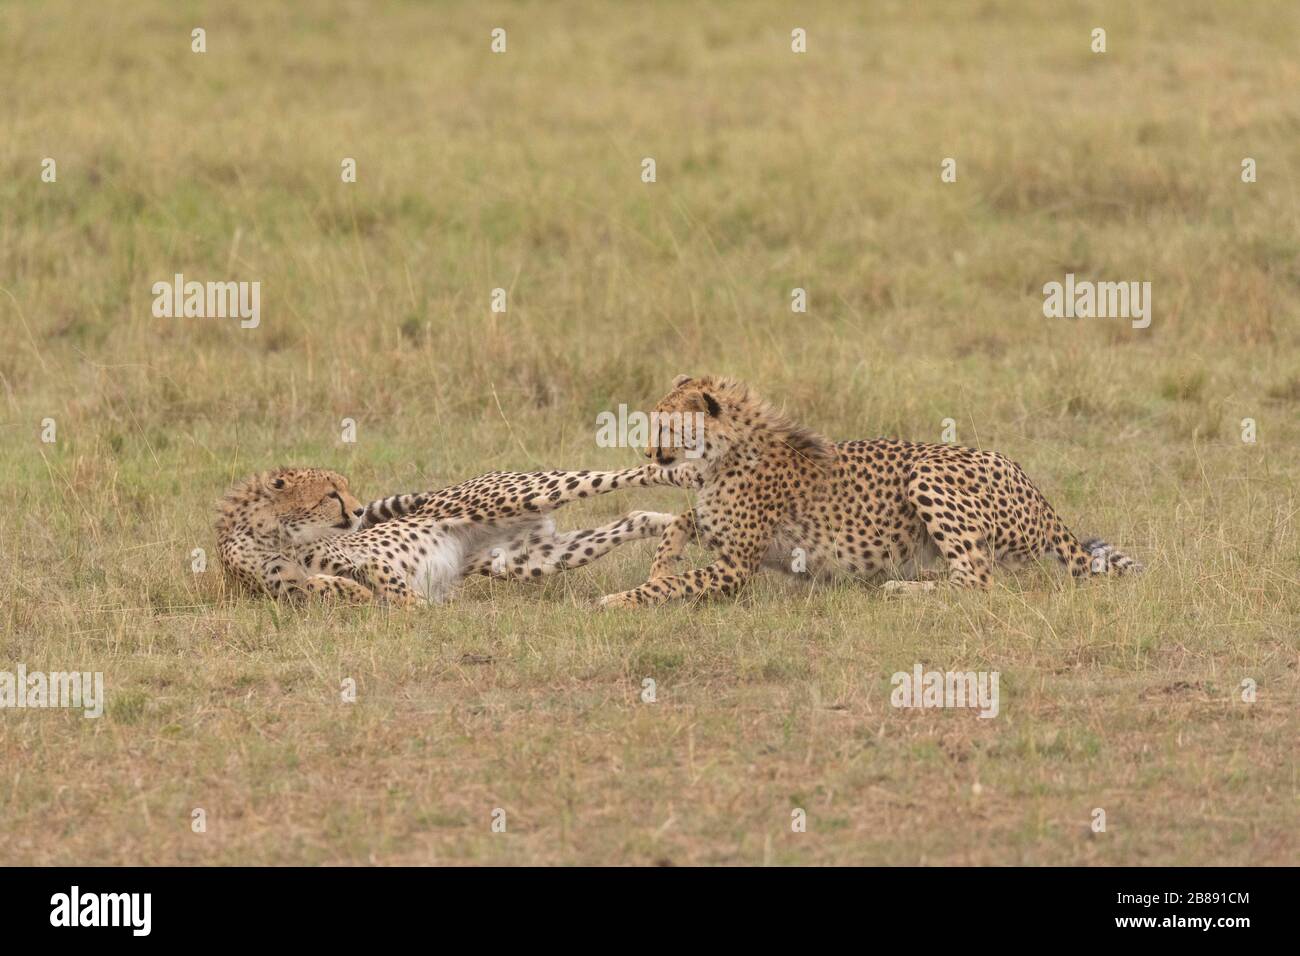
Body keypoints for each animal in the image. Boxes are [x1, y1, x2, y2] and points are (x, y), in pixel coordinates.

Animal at [215, 463, 700, 605]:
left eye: (344, 489)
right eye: (331, 494)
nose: (357, 510)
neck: (275, 534)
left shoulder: (364, 557)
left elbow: (384, 582)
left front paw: (413, 606)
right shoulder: (281, 591)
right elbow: (317, 585)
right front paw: (362, 596)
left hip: (527, 491)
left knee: (622, 474)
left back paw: (685, 472)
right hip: (534, 558)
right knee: (632, 516)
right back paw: (671, 527)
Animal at [599, 375, 1142, 608]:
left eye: (666, 425)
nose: (650, 453)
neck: (722, 454)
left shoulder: (736, 565)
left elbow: (674, 582)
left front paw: (623, 597)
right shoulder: (718, 531)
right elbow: (680, 525)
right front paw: (658, 565)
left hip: (927, 471)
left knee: (978, 580)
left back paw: (900, 587)